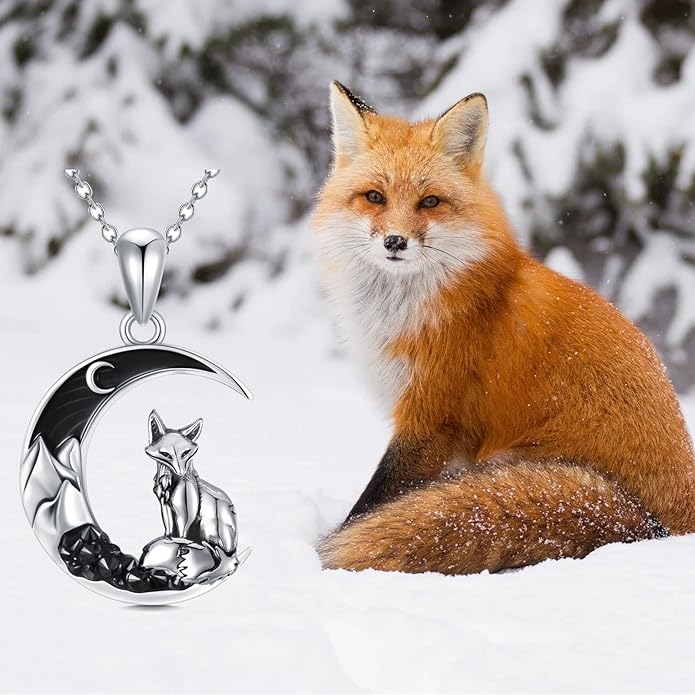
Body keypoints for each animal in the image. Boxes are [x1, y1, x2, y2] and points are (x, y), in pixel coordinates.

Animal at [312, 81, 695, 575]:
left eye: (429, 202)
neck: (404, 310)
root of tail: (656, 527)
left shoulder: (431, 417)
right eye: (375, 197)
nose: (395, 241)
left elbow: (373, 502)